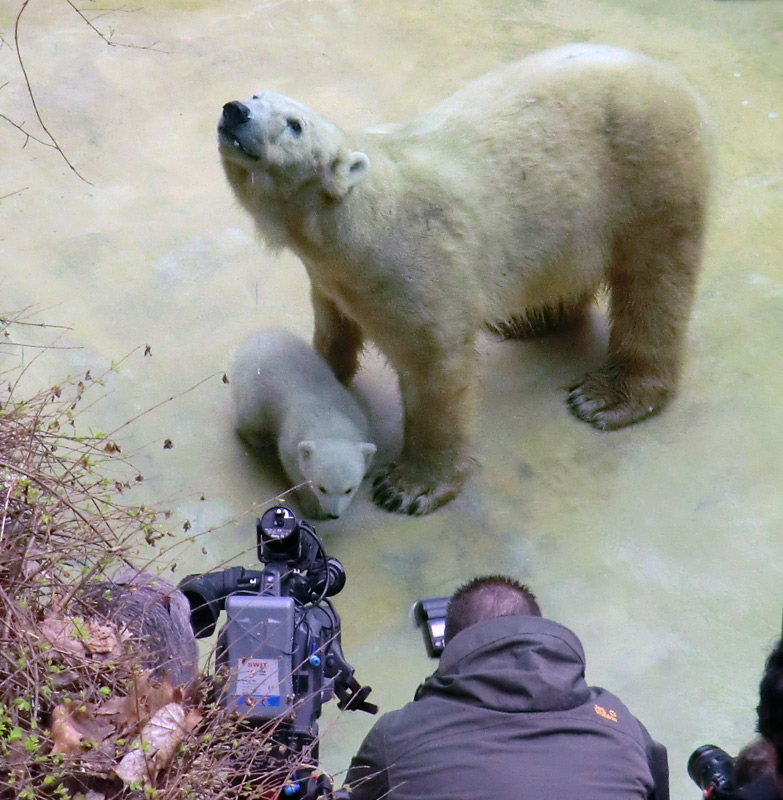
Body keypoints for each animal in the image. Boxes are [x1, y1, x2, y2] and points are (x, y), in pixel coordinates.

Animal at [217, 45, 712, 520]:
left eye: (294, 124)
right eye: (258, 95)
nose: (234, 109)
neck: (360, 222)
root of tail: (677, 82)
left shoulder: (419, 269)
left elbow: (437, 370)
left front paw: (409, 487)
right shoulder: (331, 277)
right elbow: (332, 323)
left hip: (650, 172)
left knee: (655, 283)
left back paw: (608, 397)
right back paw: (528, 321)